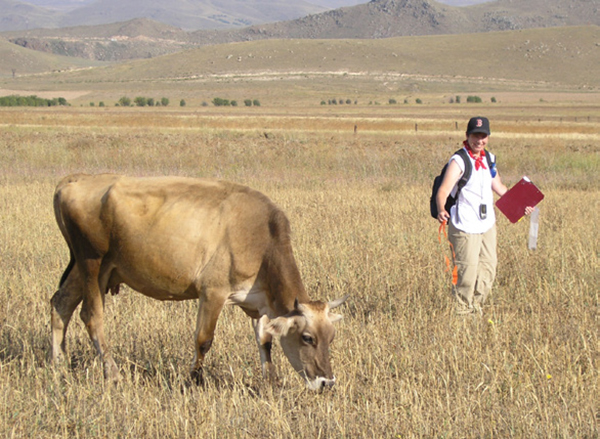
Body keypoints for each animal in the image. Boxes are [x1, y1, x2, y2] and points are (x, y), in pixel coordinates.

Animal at [53, 174, 350, 390]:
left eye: (331, 337)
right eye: (307, 337)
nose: (327, 382)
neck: (259, 236)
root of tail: (73, 180)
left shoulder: (258, 304)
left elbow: (264, 340)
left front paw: (271, 381)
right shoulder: (212, 293)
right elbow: (204, 340)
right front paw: (195, 379)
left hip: (85, 269)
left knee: (60, 305)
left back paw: (58, 365)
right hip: (92, 264)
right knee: (91, 317)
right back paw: (112, 374)